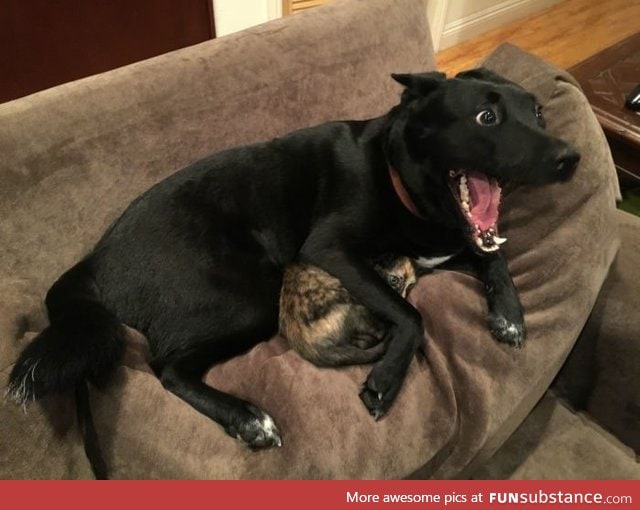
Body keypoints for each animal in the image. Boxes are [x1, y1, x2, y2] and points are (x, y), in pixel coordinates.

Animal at [8, 67, 580, 450]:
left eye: (538, 111)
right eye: (487, 116)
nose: (570, 158)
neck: (401, 177)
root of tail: (94, 262)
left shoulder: (459, 243)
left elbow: (495, 258)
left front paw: (510, 315)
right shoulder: (330, 250)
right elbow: (411, 314)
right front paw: (386, 380)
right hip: (248, 300)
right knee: (167, 369)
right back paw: (247, 418)